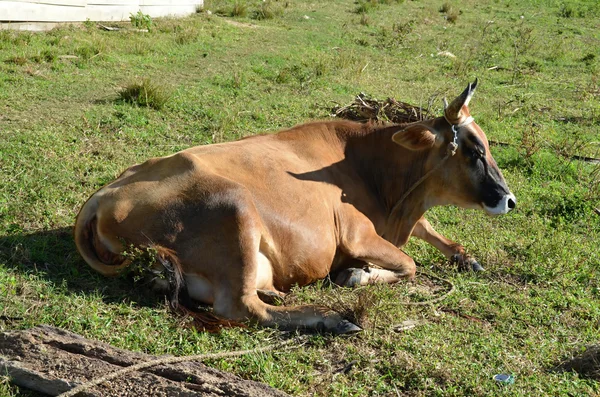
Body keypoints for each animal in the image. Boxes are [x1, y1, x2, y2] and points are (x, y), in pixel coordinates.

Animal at [75, 79, 516, 332]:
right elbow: (409, 264)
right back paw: (331, 318)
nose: (509, 200)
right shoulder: (357, 234)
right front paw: (356, 275)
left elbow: (433, 234)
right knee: (242, 306)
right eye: (474, 151)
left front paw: (465, 256)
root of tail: (100, 198)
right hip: (235, 206)